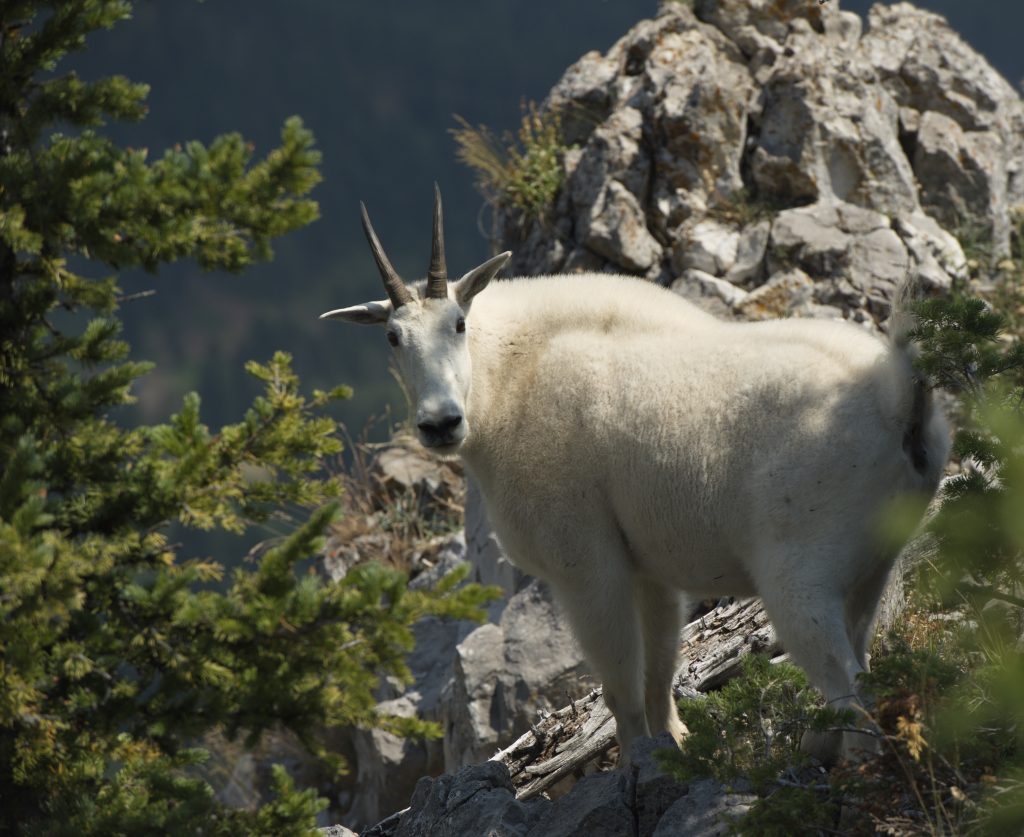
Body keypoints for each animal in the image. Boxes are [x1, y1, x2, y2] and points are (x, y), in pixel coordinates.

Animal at [321, 186, 950, 762]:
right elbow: (659, 669)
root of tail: (898, 398)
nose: (440, 423)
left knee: (851, 692)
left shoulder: (586, 564)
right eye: (392, 336)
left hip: (801, 573)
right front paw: (674, 743)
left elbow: (620, 682)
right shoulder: (649, 566)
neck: (512, 380)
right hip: (872, 568)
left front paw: (631, 763)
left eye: (458, 324)